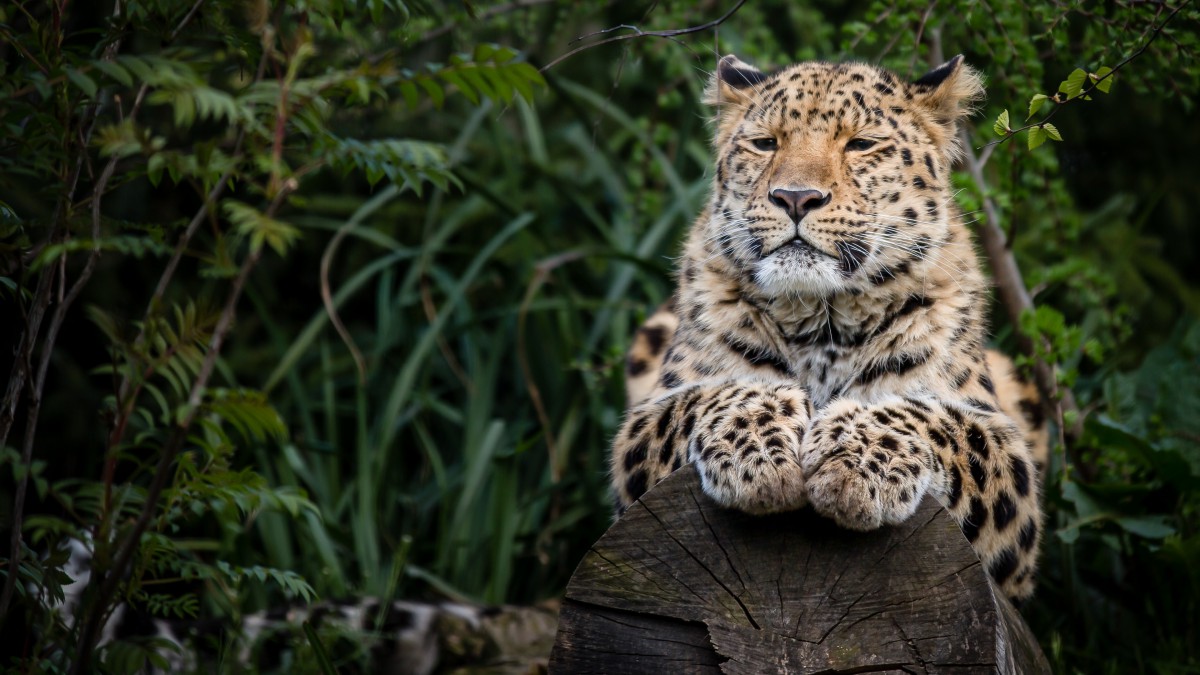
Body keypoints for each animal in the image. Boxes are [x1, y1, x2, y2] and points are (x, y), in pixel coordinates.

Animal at [609, 53, 1051, 598]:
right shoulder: (643, 426)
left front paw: (854, 466)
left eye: (860, 144)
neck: (823, 322)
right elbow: (718, 393)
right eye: (766, 143)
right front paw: (759, 455)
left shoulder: (1007, 461)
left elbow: (927, 415)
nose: (796, 198)